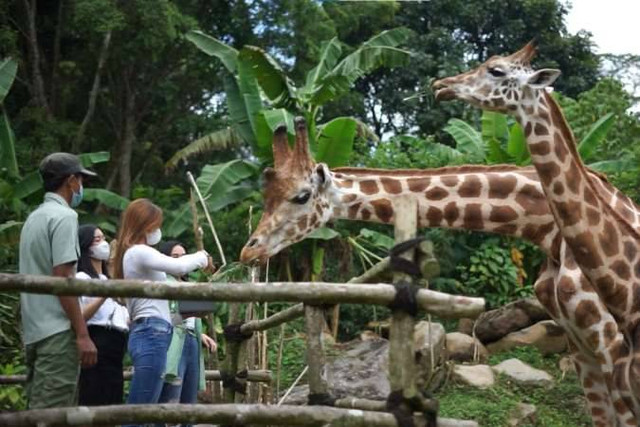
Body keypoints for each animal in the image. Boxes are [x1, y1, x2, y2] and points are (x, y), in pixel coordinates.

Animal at [242, 118, 636, 426]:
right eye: (265, 197)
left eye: (301, 196)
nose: (249, 250)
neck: (547, 229)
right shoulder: (578, 342)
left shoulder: (611, 341)